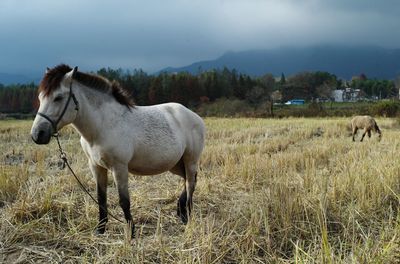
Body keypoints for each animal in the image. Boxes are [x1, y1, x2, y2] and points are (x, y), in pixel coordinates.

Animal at [30, 65, 206, 238]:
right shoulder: (96, 166)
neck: (103, 125)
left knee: (190, 184)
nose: (37, 134)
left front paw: (131, 232)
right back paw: (181, 212)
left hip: (190, 160)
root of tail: (194, 116)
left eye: (58, 97)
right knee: (188, 180)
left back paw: (188, 216)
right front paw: (100, 229)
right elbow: (101, 198)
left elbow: (124, 201)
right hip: (175, 164)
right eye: (40, 98)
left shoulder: (119, 167)